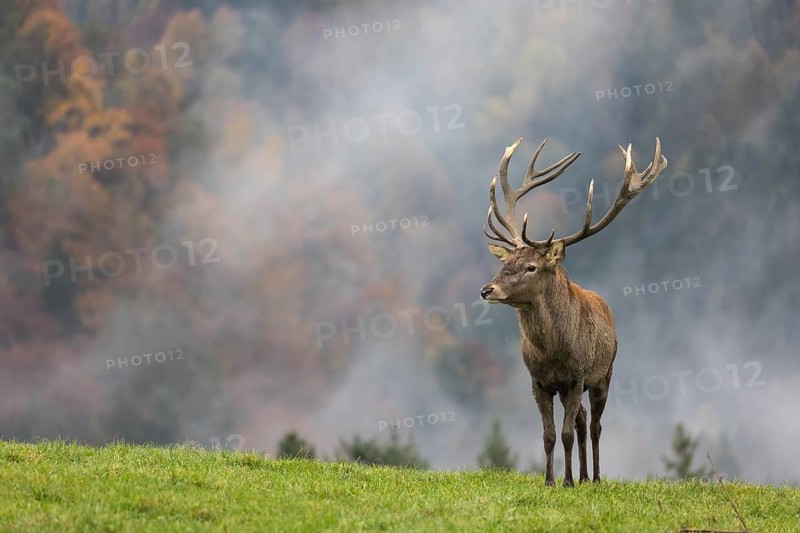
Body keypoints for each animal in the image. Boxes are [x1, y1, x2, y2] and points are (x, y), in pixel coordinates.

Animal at [479, 137, 667, 487]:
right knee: (581, 420)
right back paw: (581, 475)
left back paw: (593, 477)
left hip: (605, 374)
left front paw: (565, 482)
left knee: (594, 425)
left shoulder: (576, 378)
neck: (554, 352)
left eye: (531, 266)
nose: (487, 290)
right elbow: (549, 435)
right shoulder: (537, 382)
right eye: (504, 264)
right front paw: (550, 480)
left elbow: (566, 433)